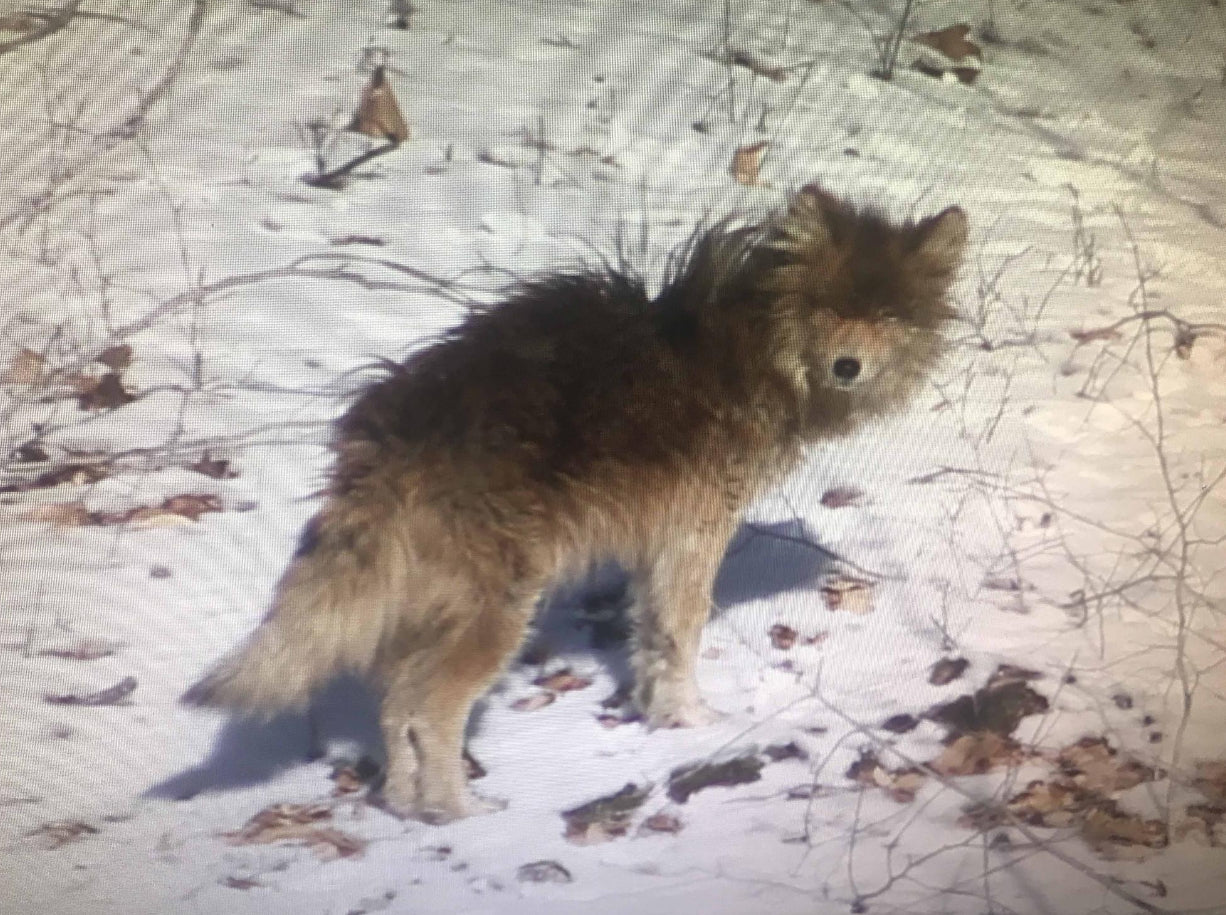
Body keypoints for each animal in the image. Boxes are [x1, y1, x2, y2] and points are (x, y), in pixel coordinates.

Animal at [183, 184, 968, 823]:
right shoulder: (694, 538)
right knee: (429, 711)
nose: (848, 366)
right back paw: (462, 815)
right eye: (830, 310)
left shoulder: (657, 549)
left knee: (394, 704)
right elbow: (680, 641)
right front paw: (695, 723)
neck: (752, 353)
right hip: (501, 614)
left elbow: (649, 643)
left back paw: (407, 807)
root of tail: (391, 429)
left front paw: (659, 719)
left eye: (886, 318)